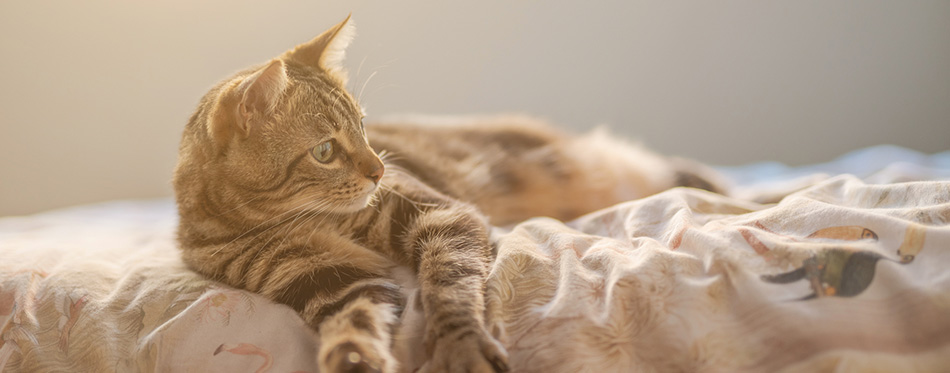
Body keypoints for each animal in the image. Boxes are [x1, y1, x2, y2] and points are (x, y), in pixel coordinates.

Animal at [173, 14, 720, 372]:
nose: (379, 170)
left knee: (660, 165)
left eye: (364, 128)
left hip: (593, 166)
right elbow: (353, 321)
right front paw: (353, 357)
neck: (290, 219)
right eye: (325, 150)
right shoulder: (328, 278)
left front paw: (461, 347)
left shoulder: (442, 214)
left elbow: (449, 287)